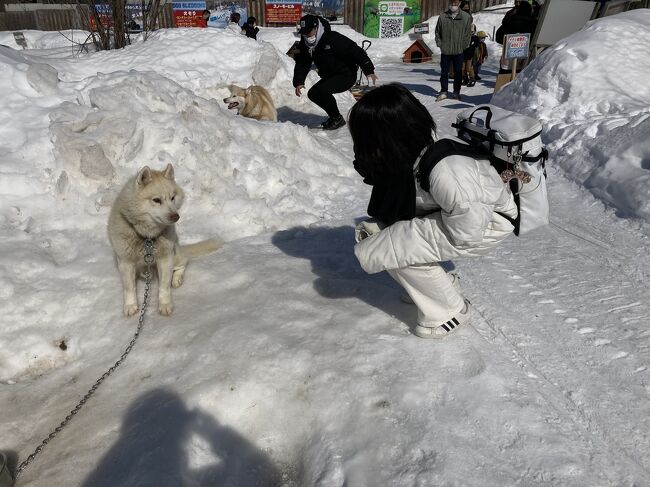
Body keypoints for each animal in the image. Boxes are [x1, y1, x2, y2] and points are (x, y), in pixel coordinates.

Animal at [107, 164, 221, 316]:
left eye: (172, 197)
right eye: (156, 200)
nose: (176, 216)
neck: (147, 236)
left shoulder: (166, 259)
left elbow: (164, 287)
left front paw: (165, 304)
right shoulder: (125, 262)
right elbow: (129, 288)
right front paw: (130, 305)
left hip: (175, 255)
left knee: (184, 261)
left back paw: (177, 279)